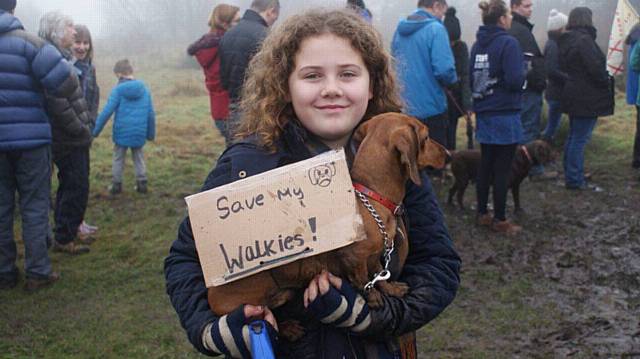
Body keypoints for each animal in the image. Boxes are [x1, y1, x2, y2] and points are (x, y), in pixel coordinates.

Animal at [208, 112, 448, 320]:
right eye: (426, 137)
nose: (448, 154)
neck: (372, 196)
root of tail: (212, 295)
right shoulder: (355, 257)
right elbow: (364, 280)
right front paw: (373, 298)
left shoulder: (374, 256)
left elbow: (379, 274)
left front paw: (391, 288)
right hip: (258, 293)